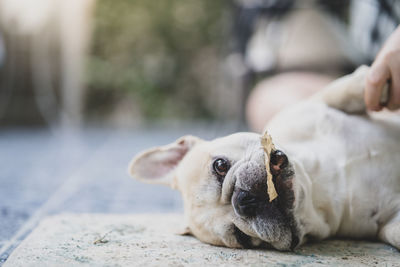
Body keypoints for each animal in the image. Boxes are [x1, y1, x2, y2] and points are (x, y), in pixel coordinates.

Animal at [128, 67, 400, 251]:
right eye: (242, 238)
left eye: (220, 166)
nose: (243, 200)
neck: (316, 186)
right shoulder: (386, 224)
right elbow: (394, 233)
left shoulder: (313, 104)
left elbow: (347, 90)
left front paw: (377, 81)